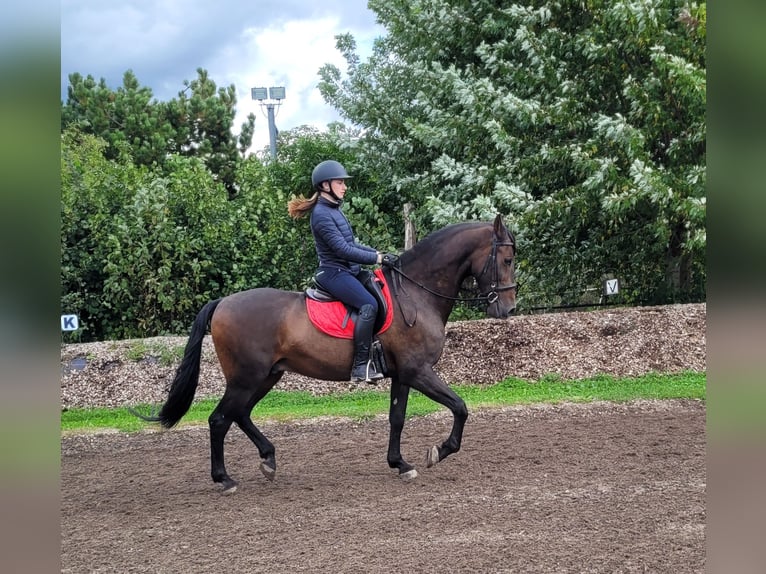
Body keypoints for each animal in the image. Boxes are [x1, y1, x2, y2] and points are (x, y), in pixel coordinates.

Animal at [141, 214, 520, 492]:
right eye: (506, 259)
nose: (508, 309)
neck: (415, 293)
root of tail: (222, 303)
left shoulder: (402, 375)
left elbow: (397, 418)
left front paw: (400, 464)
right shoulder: (419, 371)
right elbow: (460, 407)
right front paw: (438, 452)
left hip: (265, 376)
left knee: (240, 414)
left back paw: (268, 459)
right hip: (246, 378)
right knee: (220, 419)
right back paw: (225, 479)